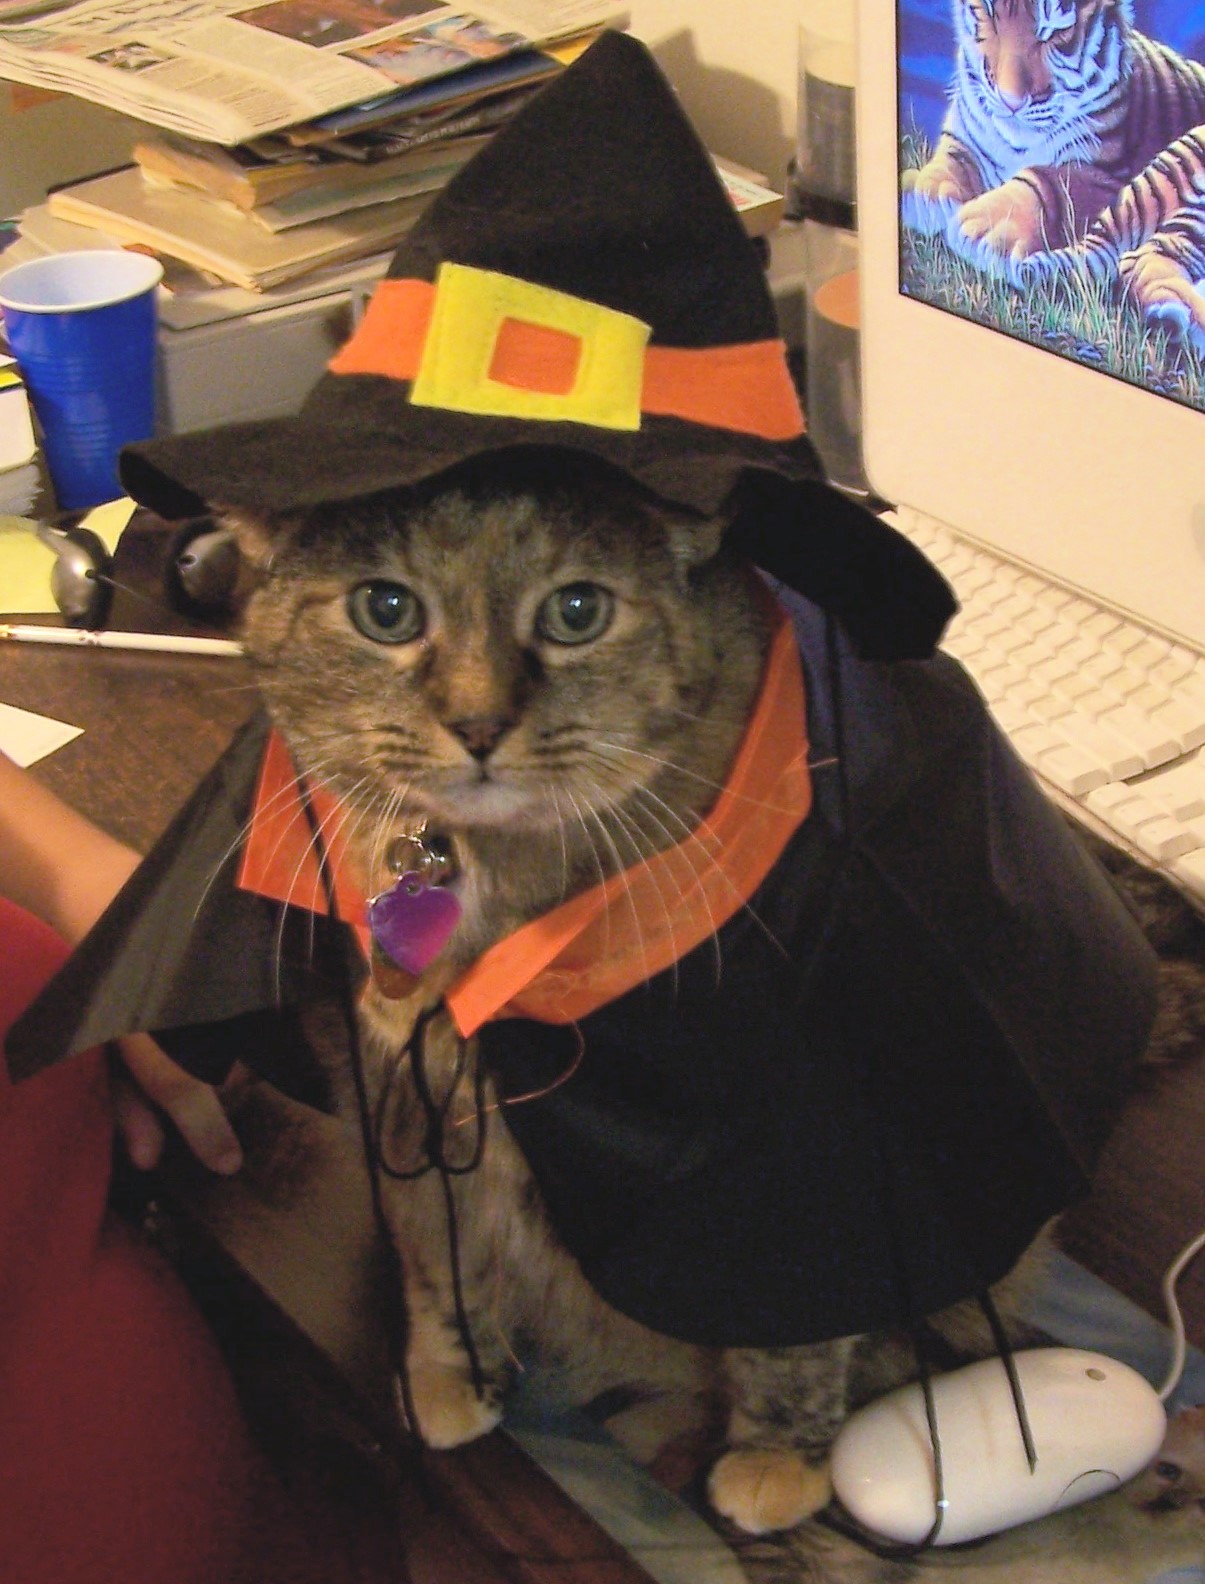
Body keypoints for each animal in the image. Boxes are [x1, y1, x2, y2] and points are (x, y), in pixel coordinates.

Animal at [217, 448, 1047, 1539]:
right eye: (384, 610)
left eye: (575, 611)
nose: (477, 724)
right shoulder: (401, 1085)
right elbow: (437, 1253)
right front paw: (447, 1373)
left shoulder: (801, 1138)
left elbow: (796, 1312)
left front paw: (775, 1458)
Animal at [903, 0, 1205, 337]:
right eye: (990, 15)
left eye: (1055, 31)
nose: (1011, 102)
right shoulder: (965, 137)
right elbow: (952, 160)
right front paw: (924, 194)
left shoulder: (1107, 178)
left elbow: (1048, 179)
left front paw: (989, 229)